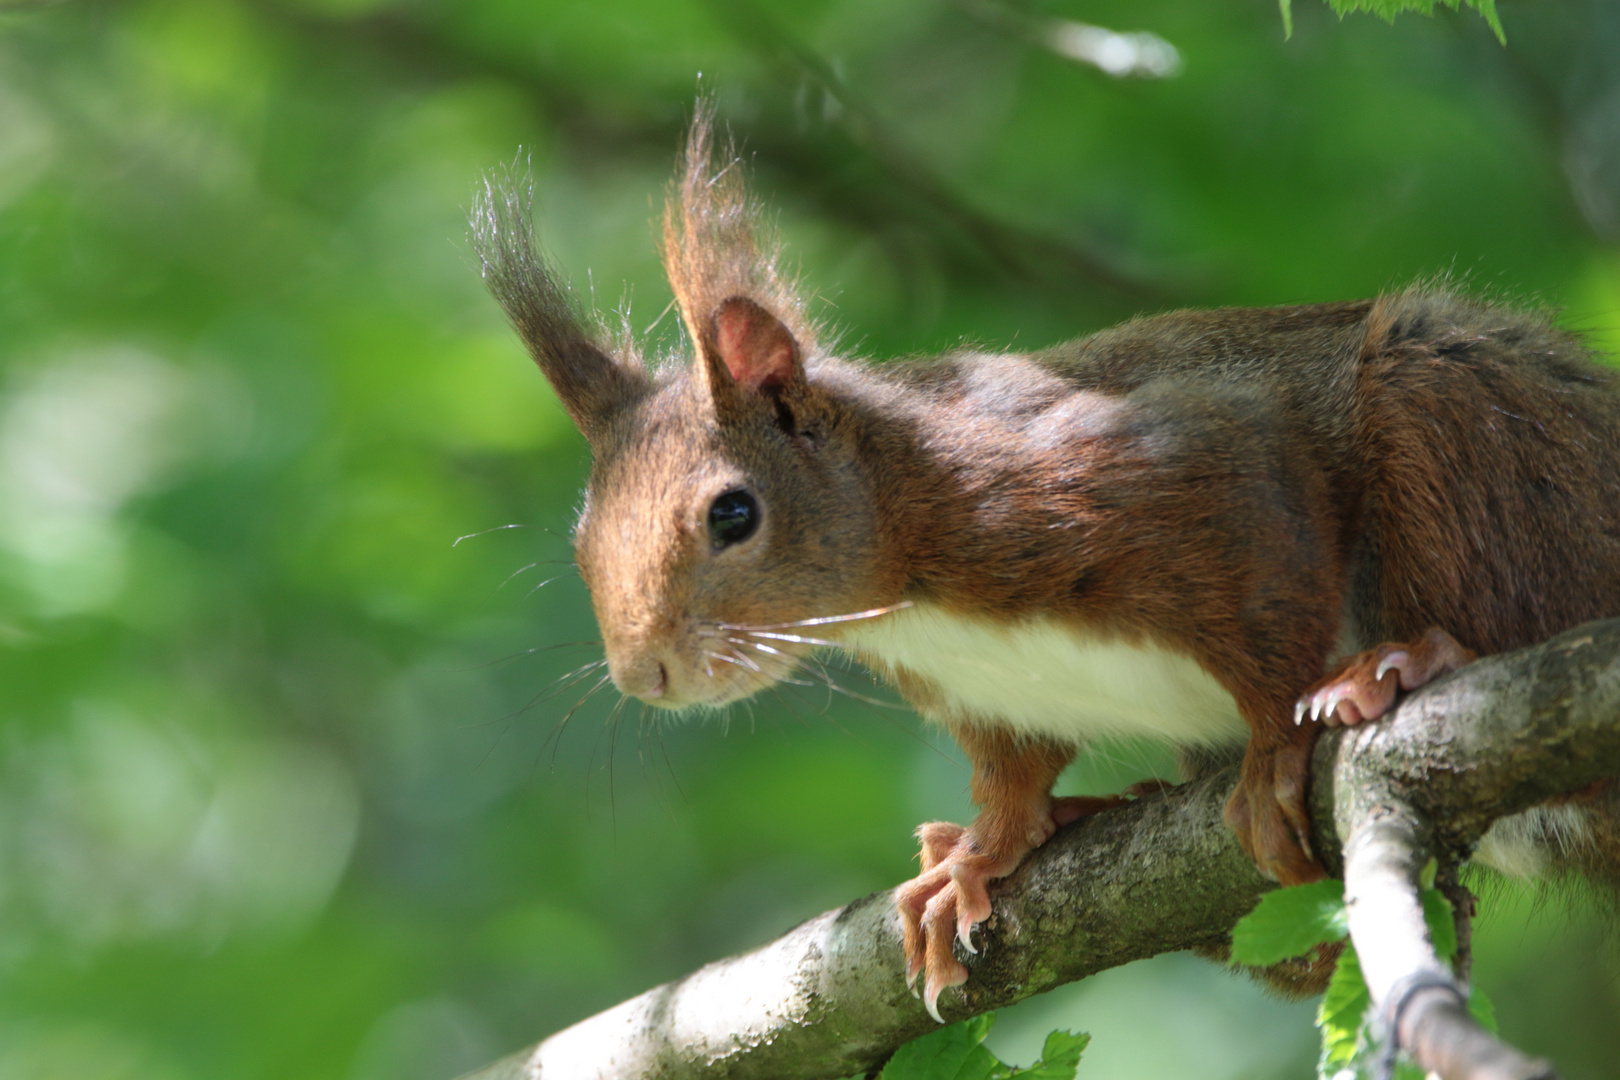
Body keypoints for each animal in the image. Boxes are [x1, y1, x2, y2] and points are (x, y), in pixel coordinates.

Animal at [469, 107, 1620, 1023]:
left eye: (734, 514)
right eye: (580, 540)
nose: (645, 675)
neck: (909, 584)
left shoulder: (1174, 478)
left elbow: (1271, 614)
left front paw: (1270, 753)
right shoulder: (987, 698)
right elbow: (1013, 773)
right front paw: (984, 854)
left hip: (1467, 424)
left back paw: (1409, 663)